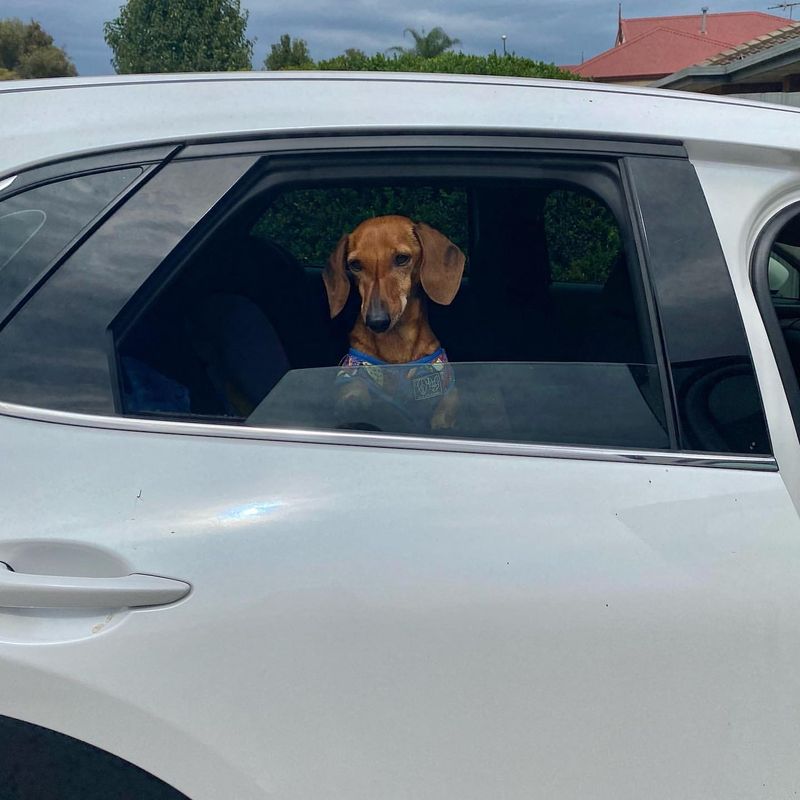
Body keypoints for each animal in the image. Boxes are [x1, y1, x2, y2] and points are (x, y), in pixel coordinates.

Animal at [322, 214, 466, 432]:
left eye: (401, 258)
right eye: (355, 264)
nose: (377, 321)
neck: (397, 343)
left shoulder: (446, 386)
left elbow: (445, 407)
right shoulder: (353, 369)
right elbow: (354, 390)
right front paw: (354, 403)